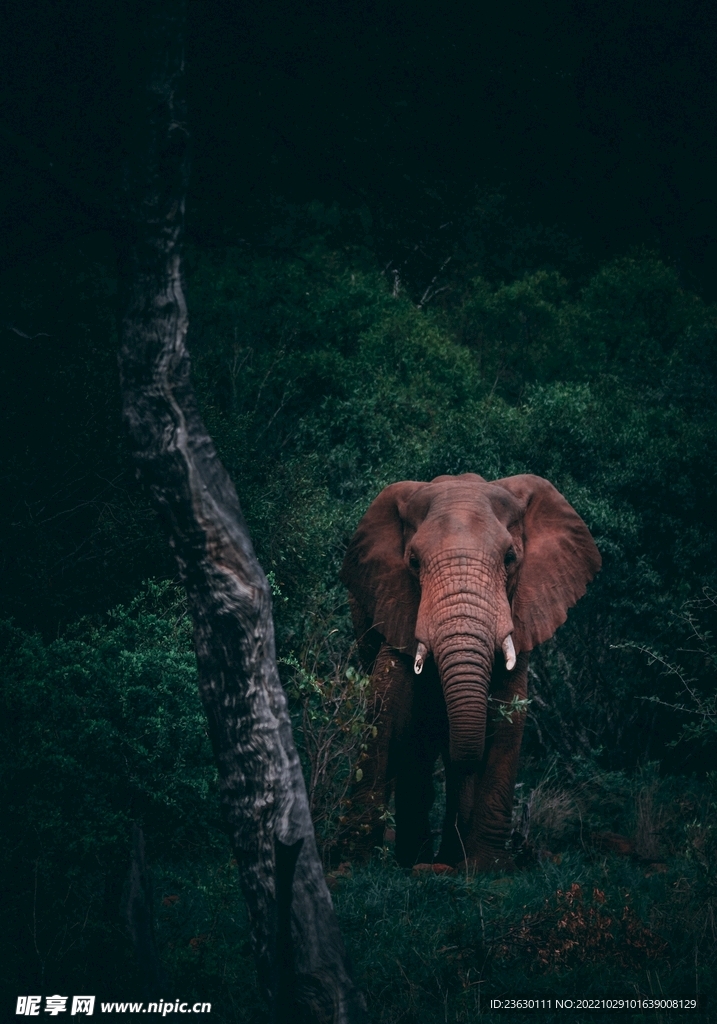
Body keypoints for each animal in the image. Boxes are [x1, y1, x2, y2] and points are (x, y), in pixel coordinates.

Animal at [340, 472, 601, 871]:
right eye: (413, 561)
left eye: (510, 558)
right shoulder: (394, 602)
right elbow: (387, 707)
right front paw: (354, 859)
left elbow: (510, 713)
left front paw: (487, 868)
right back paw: (419, 857)